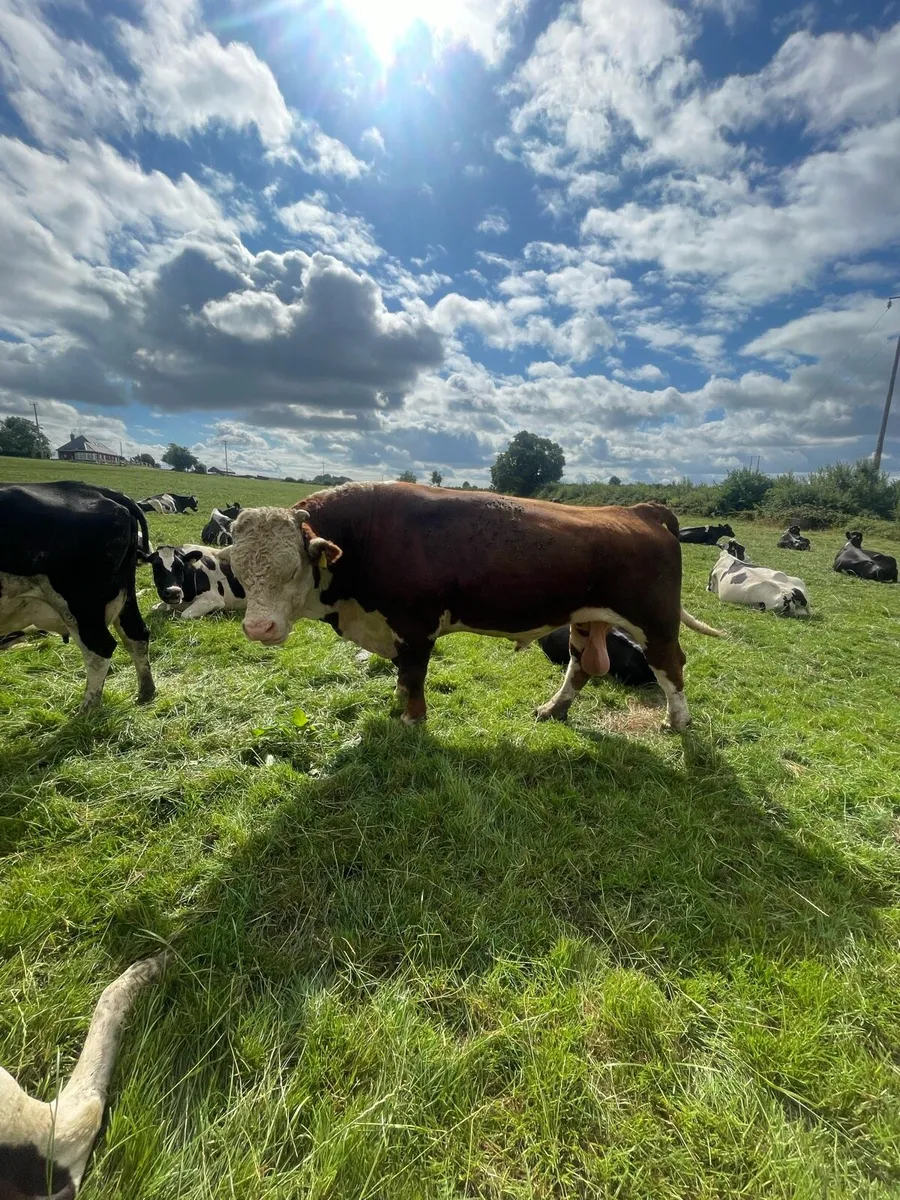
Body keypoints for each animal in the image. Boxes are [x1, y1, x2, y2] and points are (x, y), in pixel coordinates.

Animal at [0, 481, 155, 709]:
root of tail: (101, 491)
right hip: (124, 596)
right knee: (137, 635)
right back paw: (145, 692)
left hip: (80, 604)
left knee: (100, 648)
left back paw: (87, 710)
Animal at [229, 483, 724, 733]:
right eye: (237, 567)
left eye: (292, 567)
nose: (258, 629)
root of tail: (640, 510)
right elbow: (401, 676)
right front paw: (397, 703)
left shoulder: (416, 626)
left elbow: (413, 676)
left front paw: (410, 719)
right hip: (587, 618)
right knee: (582, 666)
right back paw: (553, 709)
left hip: (654, 621)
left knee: (671, 666)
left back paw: (678, 721)